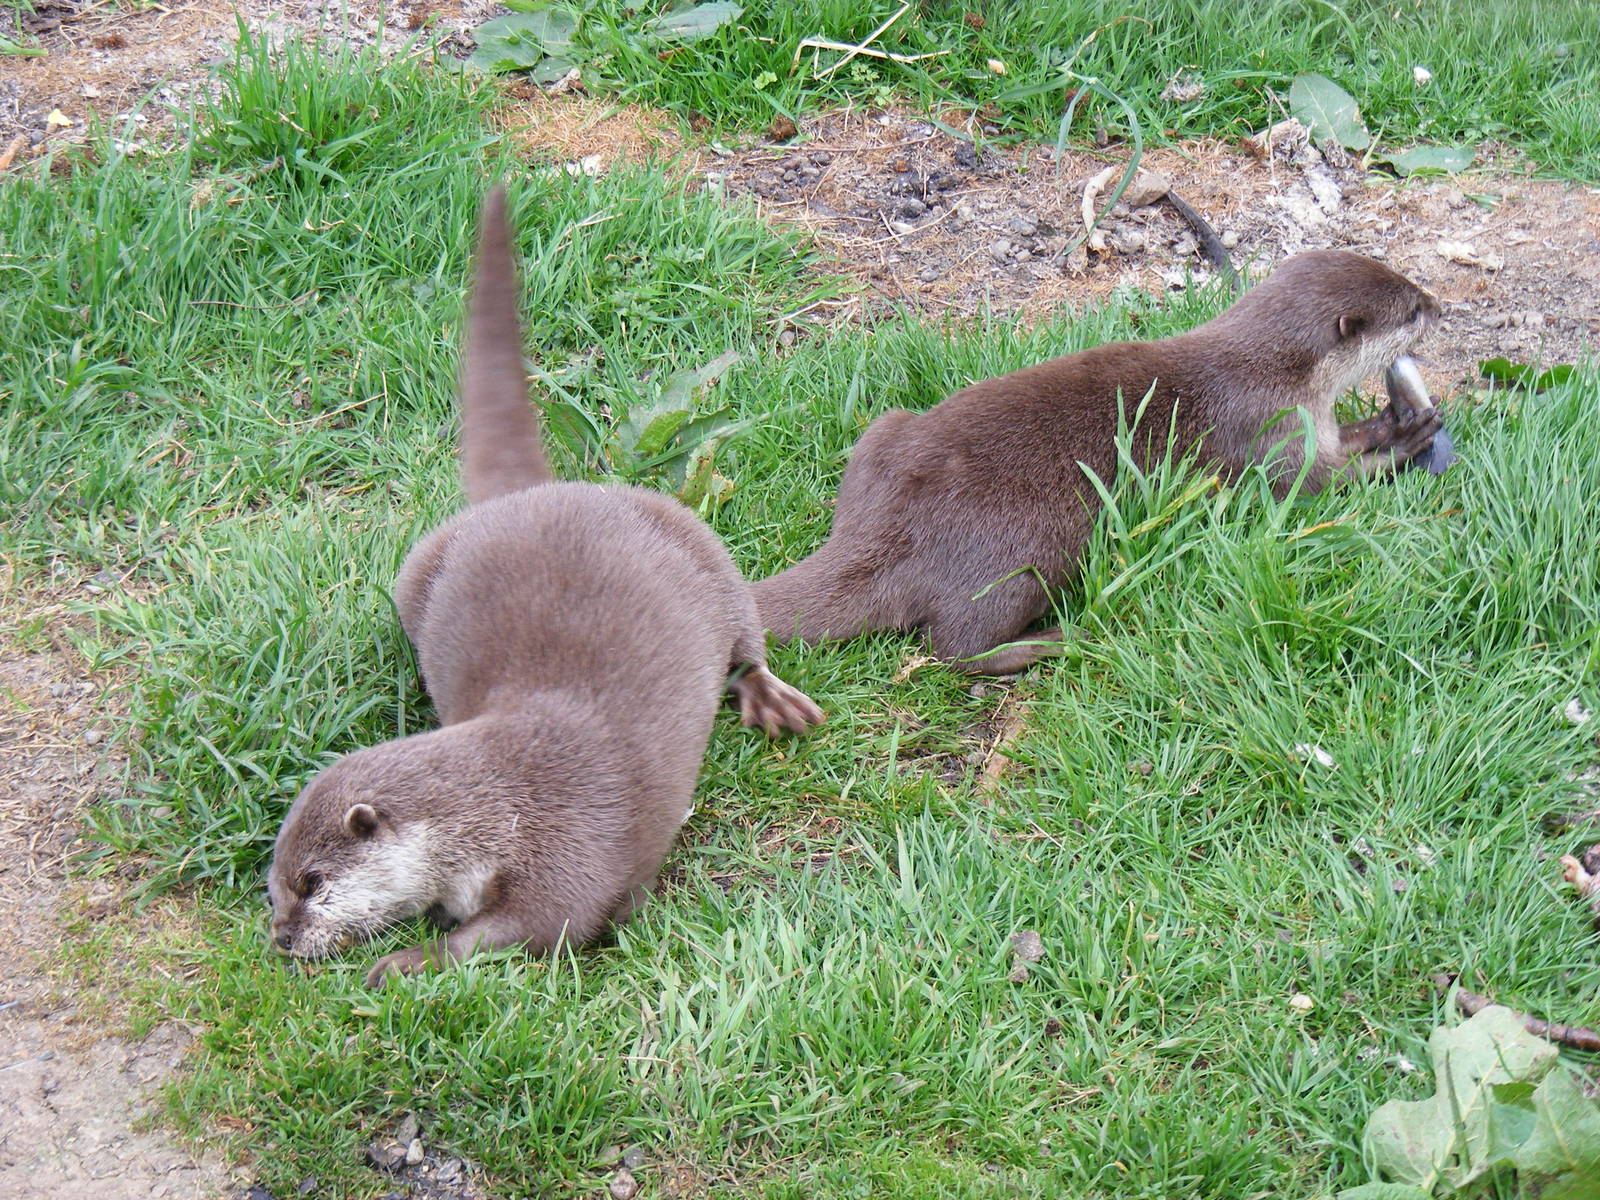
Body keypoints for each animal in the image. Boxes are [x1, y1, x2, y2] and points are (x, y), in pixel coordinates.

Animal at [268, 188, 824, 987]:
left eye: (313, 881)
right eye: (275, 885)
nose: (282, 938)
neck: (497, 809)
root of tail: (536, 491)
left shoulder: (568, 842)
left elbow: (541, 925)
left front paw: (402, 962)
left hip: (694, 540)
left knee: (747, 635)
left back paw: (772, 699)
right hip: (416, 571)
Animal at [752, 250, 1444, 674]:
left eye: (1412, 287)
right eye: (1410, 309)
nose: (1441, 306)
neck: (1277, 374)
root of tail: (882, 529)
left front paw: (1391, 419)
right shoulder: (1269, 433)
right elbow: (1316, 488)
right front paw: (1408, 440)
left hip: (883, 434)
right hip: (1027, 550)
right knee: (954, 650)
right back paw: (1059, 639)